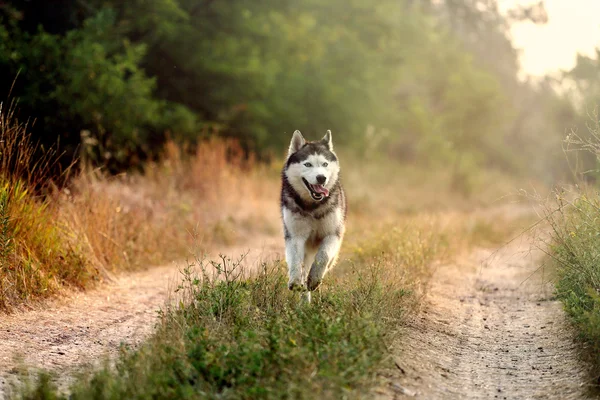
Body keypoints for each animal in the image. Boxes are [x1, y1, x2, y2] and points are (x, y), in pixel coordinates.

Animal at [282, 130, 346, 296]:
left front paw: (315, 278)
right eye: (308, 164)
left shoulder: (332, 234)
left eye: (325, 164)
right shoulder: (295, 235)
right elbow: (295, 261)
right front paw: (295, 280)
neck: (313, 206)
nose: (321, 177)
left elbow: (323, 256)